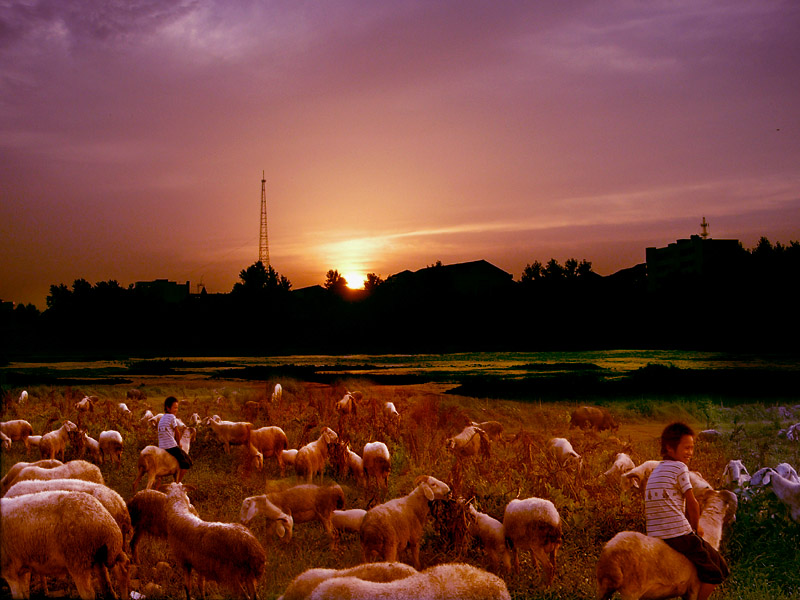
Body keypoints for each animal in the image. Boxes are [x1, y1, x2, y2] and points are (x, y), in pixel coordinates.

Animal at [1, 490, 130, 600]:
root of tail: (107, 521)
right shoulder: (22, 569)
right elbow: (25, 593)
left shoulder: (9, 569)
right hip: (99, 556)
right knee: (117, 576)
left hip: (78, 560)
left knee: (89, 594)